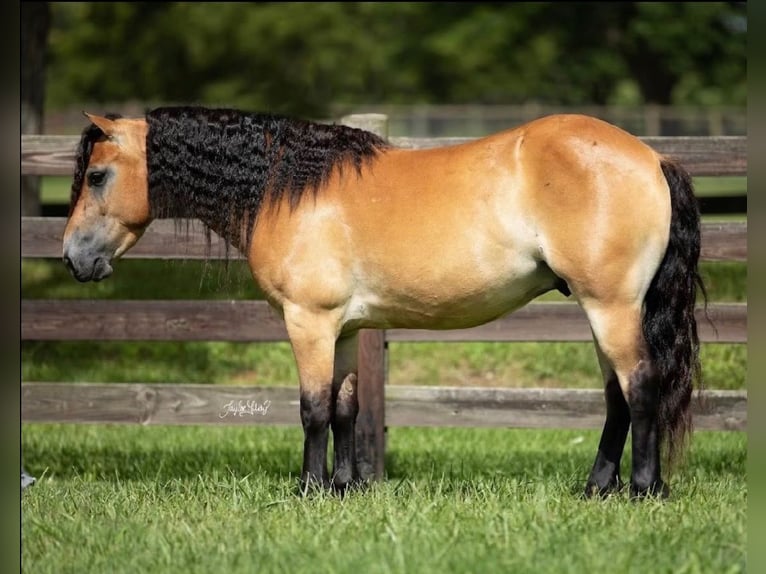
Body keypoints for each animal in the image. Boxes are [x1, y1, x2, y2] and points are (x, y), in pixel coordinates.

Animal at [63, 106, 704, 498]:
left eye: (96, 176)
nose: (72, 258)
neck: (289, 189)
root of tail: (653, 157)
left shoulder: (309, 323)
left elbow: (313, 408)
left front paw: (309, 489)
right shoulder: (343, 329)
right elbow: (346, 408)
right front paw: (345, 487)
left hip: (611, 306)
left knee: (641, 386)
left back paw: (641, 490)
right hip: (601, 309)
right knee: (617, 395)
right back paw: (597, 488)